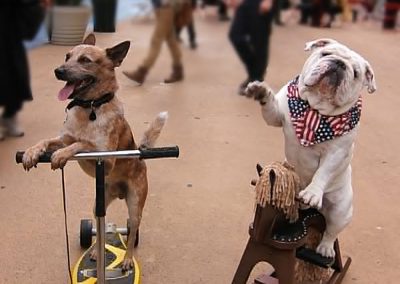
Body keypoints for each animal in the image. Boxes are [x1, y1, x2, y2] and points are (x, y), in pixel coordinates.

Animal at [21, 33, 167, 270]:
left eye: (85, 60)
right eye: (67, 56)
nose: (58, 71)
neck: (90, 106)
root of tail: (140, 154)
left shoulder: (105, 158)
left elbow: (83, 144)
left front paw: (61, 155)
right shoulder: (63, 138)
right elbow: (49, 140)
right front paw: (31, 152)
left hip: (135, 205)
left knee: (132, 233)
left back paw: (127, 259)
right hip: (100, 202)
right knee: (100, 228)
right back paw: (96, 253)